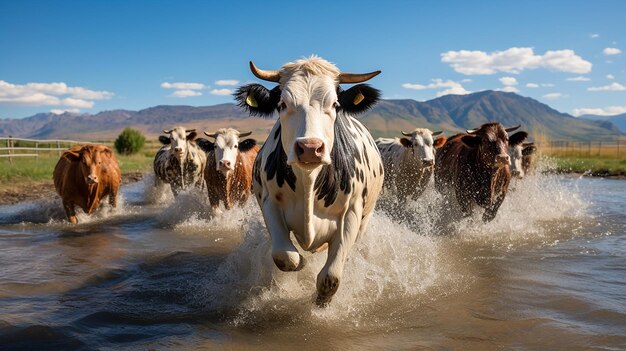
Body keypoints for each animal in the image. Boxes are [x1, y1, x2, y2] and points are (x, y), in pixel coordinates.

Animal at [233, 56, 382, 306]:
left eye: (335, 104)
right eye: (282, 104)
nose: (310, 148)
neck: (309, 181)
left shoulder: (352, 213)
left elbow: (330, 277)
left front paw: (320, 303)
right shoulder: (269, 204)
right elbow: (285, 256)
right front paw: (301, 262)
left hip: (366, 217)